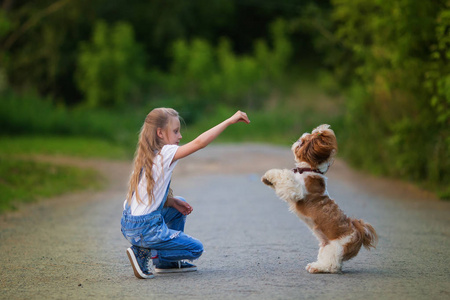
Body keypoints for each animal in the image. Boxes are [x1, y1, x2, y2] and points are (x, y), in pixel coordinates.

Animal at [262, 123, 378, 274]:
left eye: (303, 142)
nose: (297, 141)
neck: (308, 169)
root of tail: (358, 231)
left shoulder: (297, 189)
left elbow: (285, 176)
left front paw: (269, 175)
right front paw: (268, 180)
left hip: (335, 247)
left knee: (333, 265)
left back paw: (318, 268)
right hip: (326, 245)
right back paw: (316, 265)